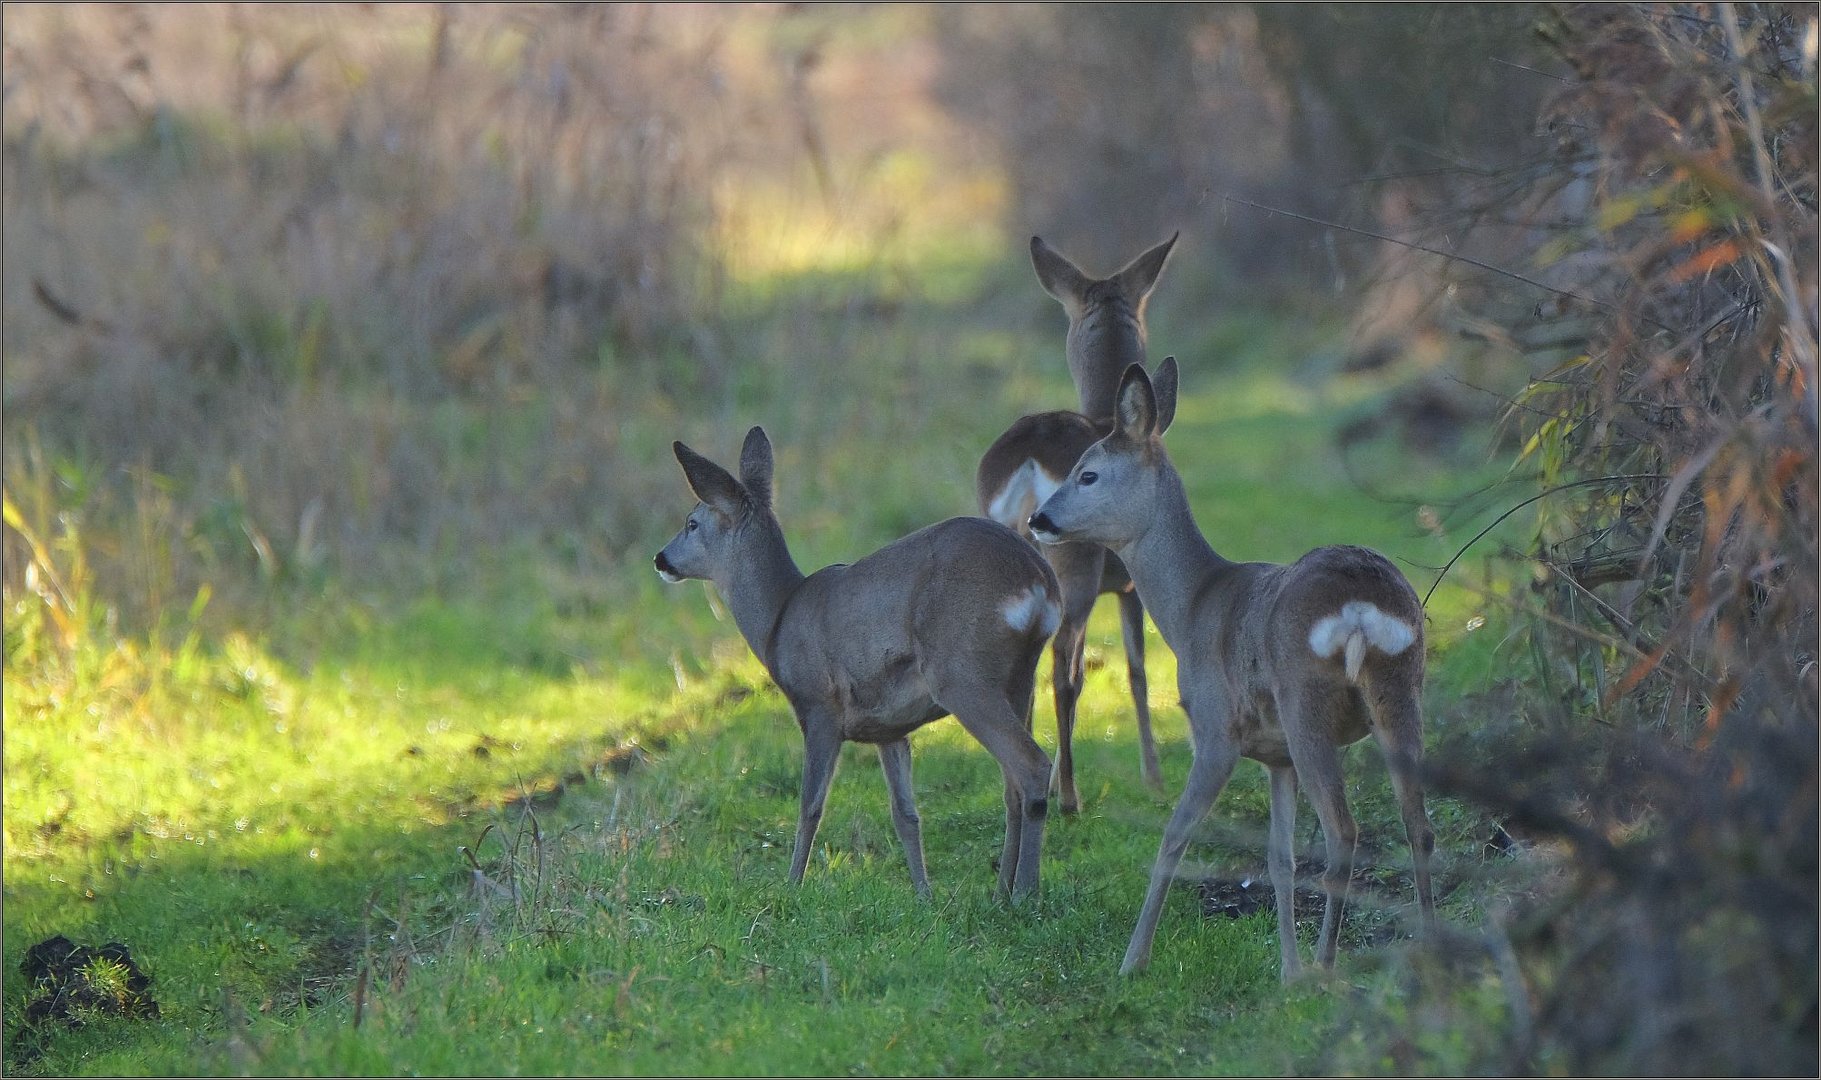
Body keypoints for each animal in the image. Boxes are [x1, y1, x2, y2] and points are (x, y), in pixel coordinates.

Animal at [655, 426, 1063, 896]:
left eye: (691, 523)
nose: (660, 558)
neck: (779, 620)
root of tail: (1038, 579)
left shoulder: (819, 706)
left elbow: (810, 806)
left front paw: (792, 885)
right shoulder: (889, 726)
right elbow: (906, 815)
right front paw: (924, 894)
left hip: (962, 674)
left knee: (1031, 766)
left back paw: (1025, 893)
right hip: (1021, 675)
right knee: (1012, 784)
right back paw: (1001, 893)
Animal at [983, 233, 1180, 808]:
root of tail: (1028, 461)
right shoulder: (1132, 580)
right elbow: (1136, 669)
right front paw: (1154, 777)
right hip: (1077, 561)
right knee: (1062, 667)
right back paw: (1069, 797)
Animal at [1027, 358, 1434, 976]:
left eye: (1088, 474)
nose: (1039, 517)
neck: (1194, 605)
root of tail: (1363, 604)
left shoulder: (1217, 728)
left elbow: (1174, 835)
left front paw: (1133, 960)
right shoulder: (1276, 756)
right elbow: (1279, 857)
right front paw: (1286, 970)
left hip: (1304, 701)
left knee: (1344, 831)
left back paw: (1326, 965)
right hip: (1401, 688)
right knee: (1419, 825)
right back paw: (1429, 949)